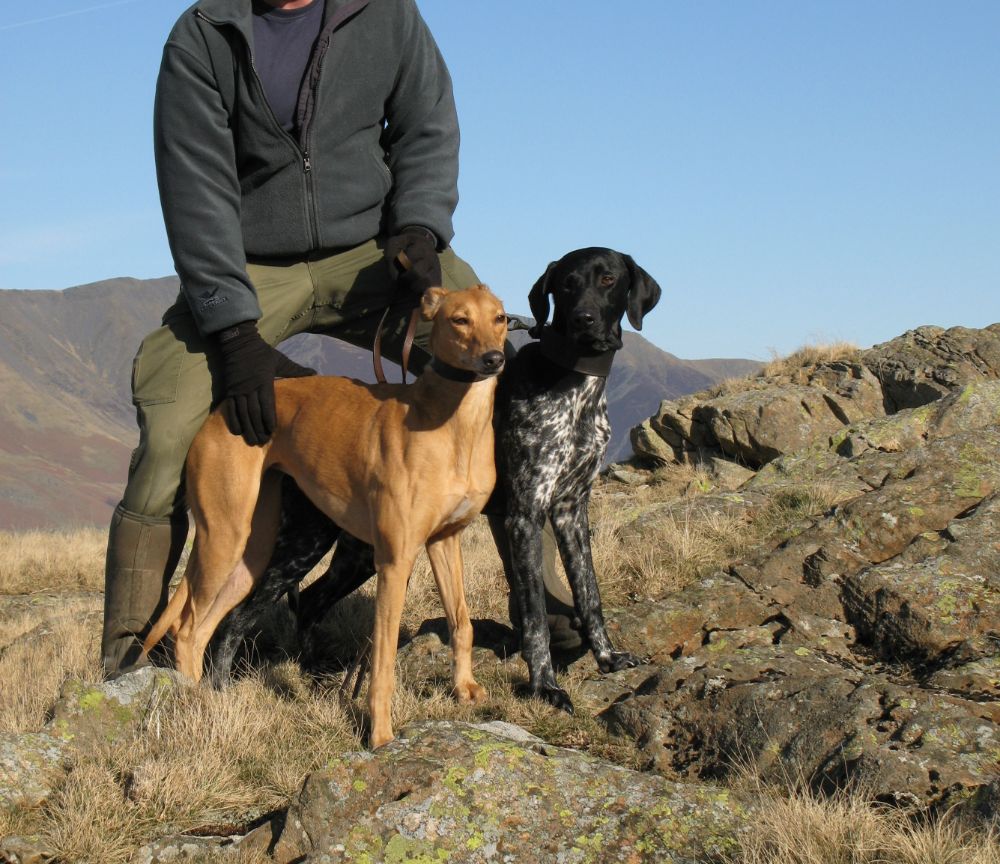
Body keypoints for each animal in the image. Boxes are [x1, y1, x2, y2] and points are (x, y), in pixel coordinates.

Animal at [143, 284, 508, 748]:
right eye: (459, 320)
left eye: (500, 318)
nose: (493, 359)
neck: (451, 423)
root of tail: (219, 411)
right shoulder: (395, 560)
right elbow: (382, 659)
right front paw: (380, 736)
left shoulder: (445, 541)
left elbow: (462, 622)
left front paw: (463, 689)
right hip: (226, 535)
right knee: (188, 628)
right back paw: (193, 705)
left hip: (255, 552)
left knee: (211, 626)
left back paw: (212, 701)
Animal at [490, 247, 661, 712]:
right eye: (566, 284)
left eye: (608, 279)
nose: (585, 318)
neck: (576, 385)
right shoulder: (525, 515)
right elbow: (534, 616)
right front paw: (544, 686)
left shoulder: (571, 510)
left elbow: (590, 593)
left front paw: (607, 656)